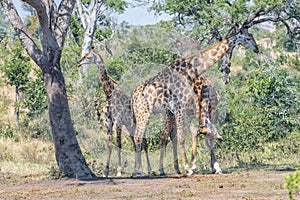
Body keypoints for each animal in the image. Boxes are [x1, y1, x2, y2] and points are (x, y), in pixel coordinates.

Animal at [76, 47, 154, 177]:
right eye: (84, 55)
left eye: (88, 56)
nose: (78, 63)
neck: (109, 94)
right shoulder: (108, 122)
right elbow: (110, 145)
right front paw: (105, 172)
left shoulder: (118, 122)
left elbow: (118, 144)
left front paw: (118, 171)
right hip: (130, 126)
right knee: (136, 143)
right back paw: (136, 171)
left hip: (141, 124)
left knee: (144, 142)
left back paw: (148, 170)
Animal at [131, 26, 258, 177]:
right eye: (248, 38)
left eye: (252, 35)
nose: (256, 48)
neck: (191, 69)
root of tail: (133, 96)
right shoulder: (180, 107)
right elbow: (184, 136)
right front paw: (190, 167)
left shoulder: (184, 109)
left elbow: (196, 132)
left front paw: (200, 166)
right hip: (144, 113)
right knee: (139, 137)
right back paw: (140, 171)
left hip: (144, 114)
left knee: (143, 137)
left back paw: (146, 170)